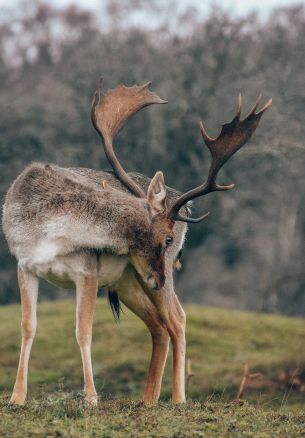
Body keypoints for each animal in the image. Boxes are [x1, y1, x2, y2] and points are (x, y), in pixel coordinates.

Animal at [1, 77, 270, 406]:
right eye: (166, 238)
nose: (159, 278)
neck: (47, 231)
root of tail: (183, 205)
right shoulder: (24, 265)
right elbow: (27, 327)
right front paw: (16, 397)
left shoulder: (86, 271)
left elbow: (83, 330)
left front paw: (91, 398)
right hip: (128, 280)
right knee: (159, 326)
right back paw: (148, 400)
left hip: (140, 280)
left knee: (178, 319)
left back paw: (178, 399)